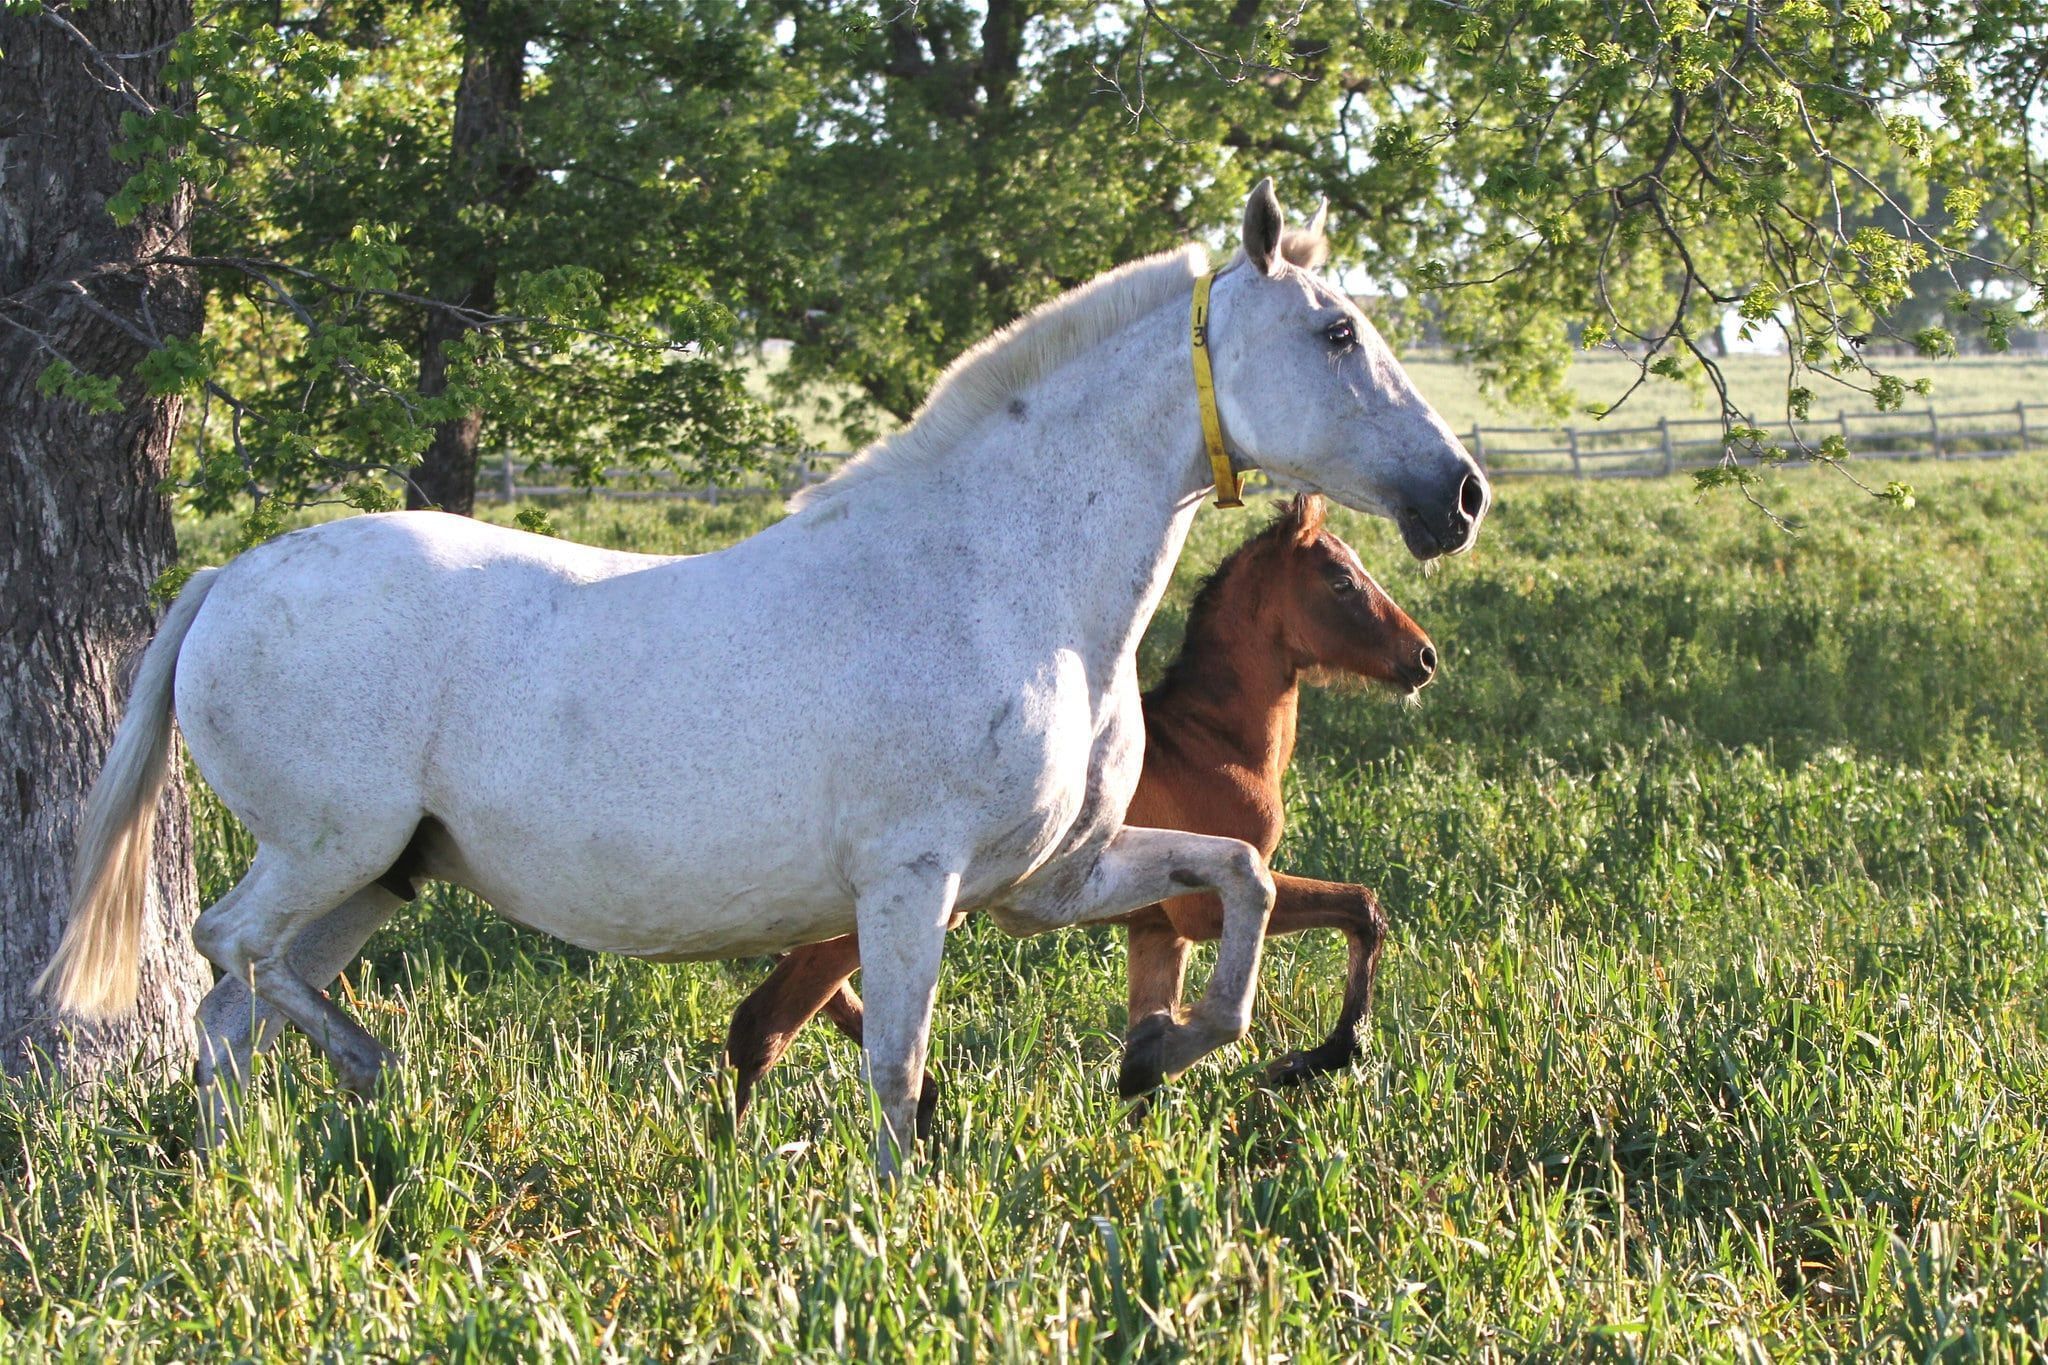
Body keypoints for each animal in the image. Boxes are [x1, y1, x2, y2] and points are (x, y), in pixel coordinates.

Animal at [724, 493, 1432, 1132]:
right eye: (1342, 580)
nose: (1423, 657)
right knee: (763, 1026)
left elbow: (1149, 1058)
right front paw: (1319, 1057)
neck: (1213, 746)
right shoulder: (1203, 911)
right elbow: (1364, 907)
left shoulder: (1158, 930)